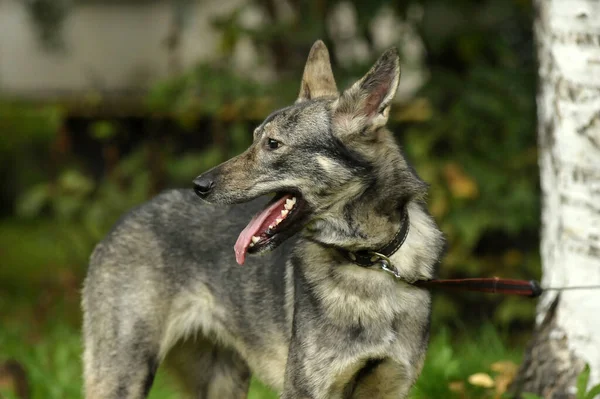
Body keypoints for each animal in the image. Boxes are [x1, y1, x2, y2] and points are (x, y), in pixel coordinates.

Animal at [81, 39, 446, 398]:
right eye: (254, 139)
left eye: (272, 144)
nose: (200, 186)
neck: (370, 261)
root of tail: (123, 221)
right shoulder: (304, 390)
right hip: (124, 376)